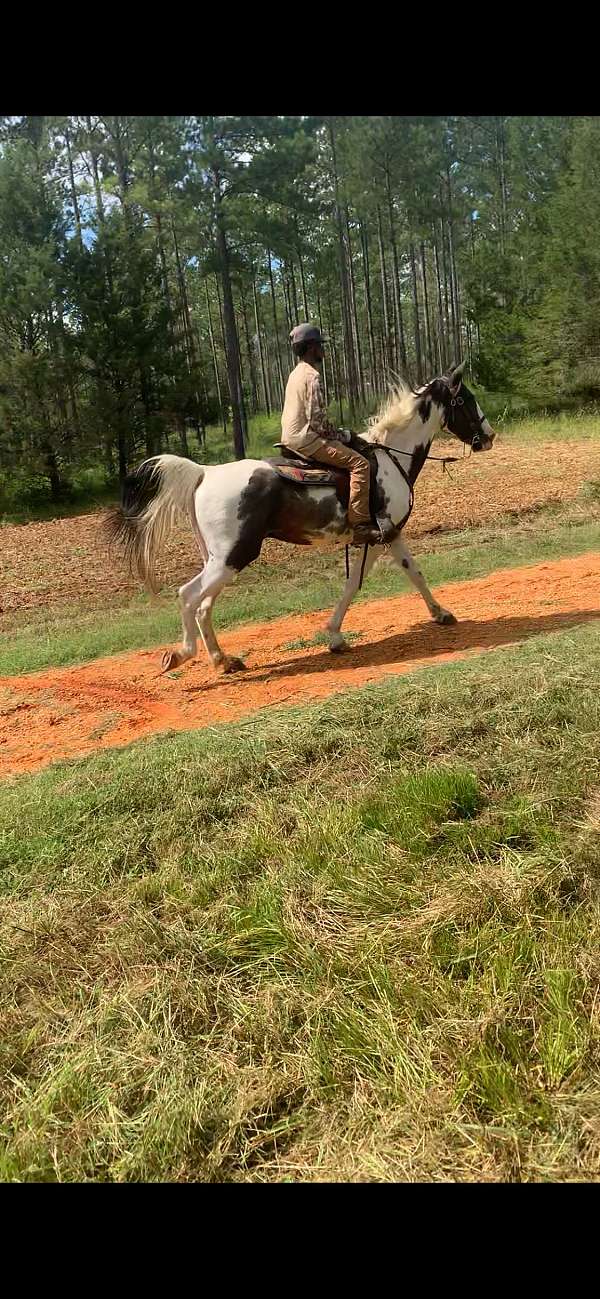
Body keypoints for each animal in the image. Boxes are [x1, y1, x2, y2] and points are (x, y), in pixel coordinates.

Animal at [104, 361, 496, 675]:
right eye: (466, 399)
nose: (488, 436)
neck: (390, 458)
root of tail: (204, 472)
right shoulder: (374, 538)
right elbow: (354, 585)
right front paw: (335, 636)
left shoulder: (389, 534)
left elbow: (413, 572)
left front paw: (440, 614)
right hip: (233, 556)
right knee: (189, 596)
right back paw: (183, 655)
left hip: (218, 559)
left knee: (203, 606)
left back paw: (223, 660)